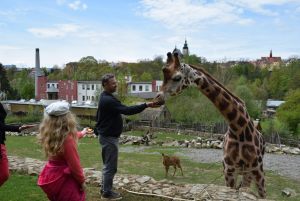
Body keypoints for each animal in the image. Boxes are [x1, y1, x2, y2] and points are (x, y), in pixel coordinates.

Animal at [156, 51, 266, 198]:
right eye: (163, 75)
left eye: (177, 77)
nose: (157, 98)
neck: (238, 128)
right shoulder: (229, 170)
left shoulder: (257, 169)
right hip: (242, 171)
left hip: (251, 170)